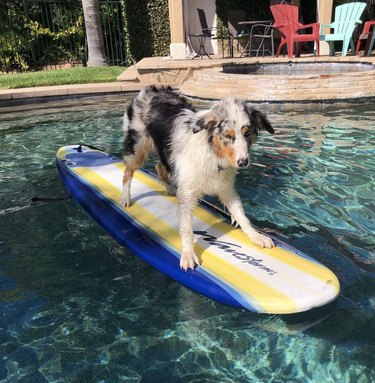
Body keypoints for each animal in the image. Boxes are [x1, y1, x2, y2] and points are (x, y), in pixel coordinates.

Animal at [122, 85, 276, 272]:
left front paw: (256, 237)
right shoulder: (188, 194)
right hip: (138, 146)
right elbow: (187, 228)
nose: (243, 162)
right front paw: (188, 254)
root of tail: (152, 89)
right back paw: (126, 198)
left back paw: (170, 189)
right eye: (228, 136)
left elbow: (241, 215)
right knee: (128, 172)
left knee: (159, 167)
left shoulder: (226, 189)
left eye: (248, 134)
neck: (212, 152)